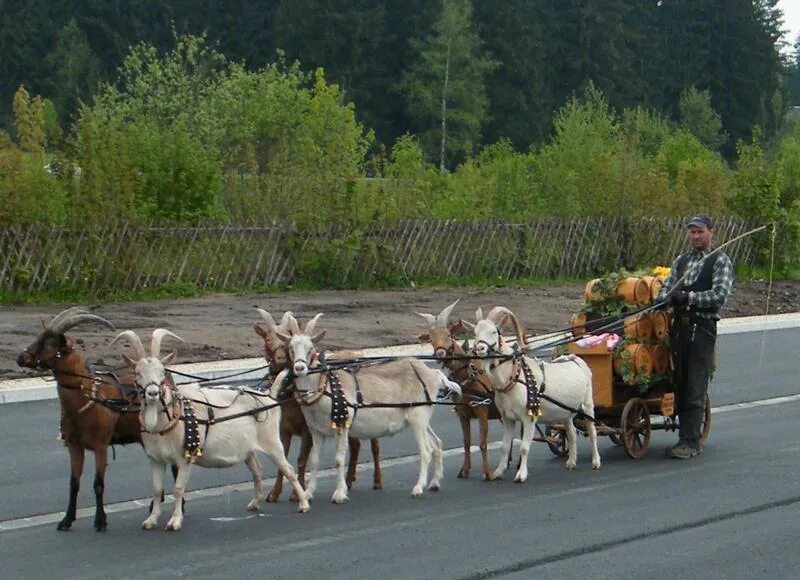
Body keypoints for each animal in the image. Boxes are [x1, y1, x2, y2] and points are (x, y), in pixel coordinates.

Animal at [112, 328, 310, 528]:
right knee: (257, 470)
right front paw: (151, 520)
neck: (172, 418)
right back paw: (255, 503)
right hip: (248, 448)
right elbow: (157, 490)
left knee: (288, 469)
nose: (152, 393)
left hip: (271, 441)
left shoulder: (184, 458)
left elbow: (178, 489)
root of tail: (268, 396)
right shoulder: (156, 460)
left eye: (162, 372)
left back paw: (303, 503)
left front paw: (174, 521)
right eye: (137, 373)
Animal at [255, 308, 382, 502]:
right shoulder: (284, 429)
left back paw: (376, 481)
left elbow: (301, 459)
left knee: (374, 445)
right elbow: (283, 459)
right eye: (267, 338)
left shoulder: (307, 429)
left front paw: (296, 493)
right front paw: (274, 493)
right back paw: (349, 480)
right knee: (355, 445)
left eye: (287, 336)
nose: (281, 357)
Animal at [272, 312, 462, 502]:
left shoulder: (341, 425)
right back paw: (435, 483)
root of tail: (433, 374)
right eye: (291, 348)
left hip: (418, 417)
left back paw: (418, 488)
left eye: (311, 349)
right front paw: (308, 493)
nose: (300, 367)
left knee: (426, 450)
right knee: (437, 443)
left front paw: (339, 494)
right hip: (422, 417)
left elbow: (339, 459)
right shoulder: (316, 431)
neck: (325, 388)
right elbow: (315, 461)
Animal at [418, 302, 500, 478]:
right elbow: (466, 443)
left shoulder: (482, 410)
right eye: (431, 339)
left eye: (449, 335)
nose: (440, 353)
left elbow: (483, 443)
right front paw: (464, 470)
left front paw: (487, 472)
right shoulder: (462, 414)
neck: (468, 376)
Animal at [462, 306, 600, 482]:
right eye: (475, 333)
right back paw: (571, 463)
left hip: (587, 404)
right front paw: (497, 473)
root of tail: (577, 360)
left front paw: (521, 475)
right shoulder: (507, 418)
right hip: (567, 412)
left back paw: (596, 462)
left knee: (592, 431)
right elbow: (505, 446)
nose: (480, 349)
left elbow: (524, 447)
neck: (514, 378)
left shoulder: (528, 418)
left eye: (493, 331)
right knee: (571, 433)